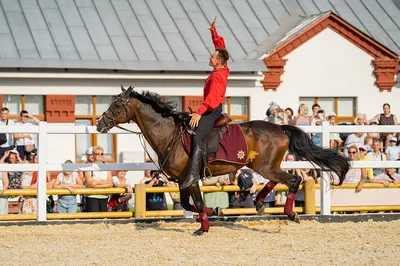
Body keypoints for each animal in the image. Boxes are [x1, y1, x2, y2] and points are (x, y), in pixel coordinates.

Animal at [97, 86, 350, 234]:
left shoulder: (190, 179)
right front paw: (216, 211)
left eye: (117, 104)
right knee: (281, 180)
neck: (170, 135)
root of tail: (280, 127)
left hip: (265, 166)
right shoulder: (182, 181)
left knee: (292, 180)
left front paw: (204, 227)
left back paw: (290, 212)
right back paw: (260, 202)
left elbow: (198, 204)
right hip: (263, 166)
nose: (99, 124)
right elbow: (188, 204)